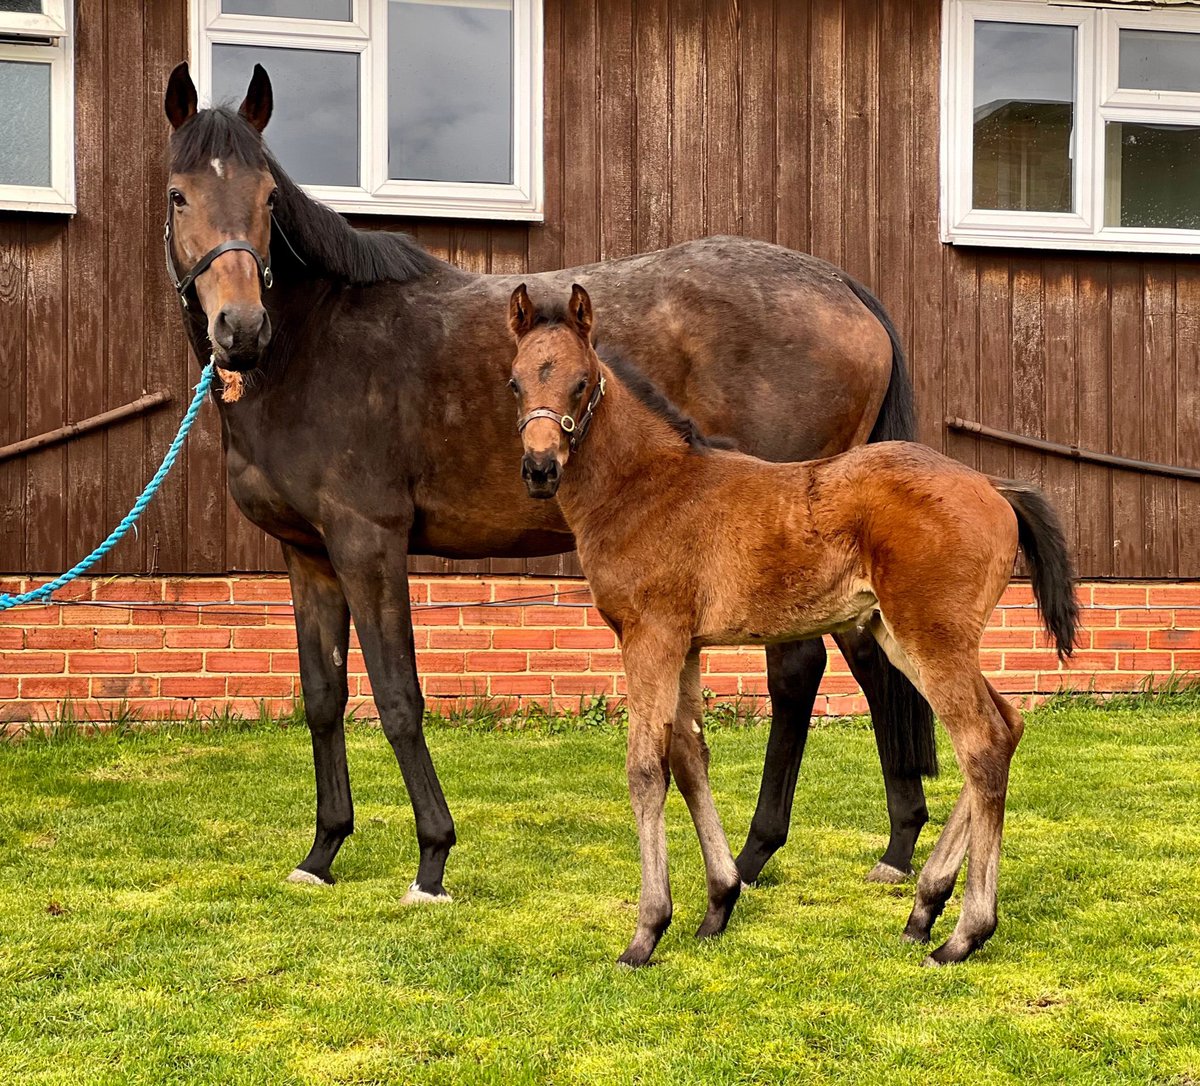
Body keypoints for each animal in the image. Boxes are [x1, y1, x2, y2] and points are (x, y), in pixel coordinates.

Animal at [506, 282, 1080, 964]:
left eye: (581, 382)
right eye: (515, 382)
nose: (540, 469)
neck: (649, 486)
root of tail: (994, 487)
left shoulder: (649, 636)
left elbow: (646, 768)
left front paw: (647, 932)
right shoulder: (686, 645)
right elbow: (690, 755)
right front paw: (719, 904)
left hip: (930, 634)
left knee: (983, 743)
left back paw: (963, 933)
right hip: (906, 636)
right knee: (1008, 725)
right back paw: (923, 909)